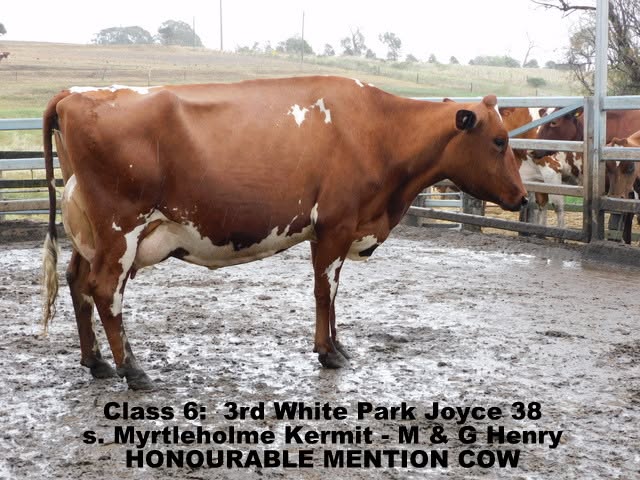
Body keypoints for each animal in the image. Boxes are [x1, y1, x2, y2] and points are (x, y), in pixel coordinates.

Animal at [41, 77, 527, 390]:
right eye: (500, 141)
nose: (523, 198)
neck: (377, 129)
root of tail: (74, 95)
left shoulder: (332, 229)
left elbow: (332, 293)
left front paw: (338, 346)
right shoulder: (335, 224)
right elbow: (325, 291)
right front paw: (328, 352)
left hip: (91, 235)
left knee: (78, 282)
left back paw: (96, 362)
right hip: (121, 229)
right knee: (106, 291)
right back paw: (134, 370)